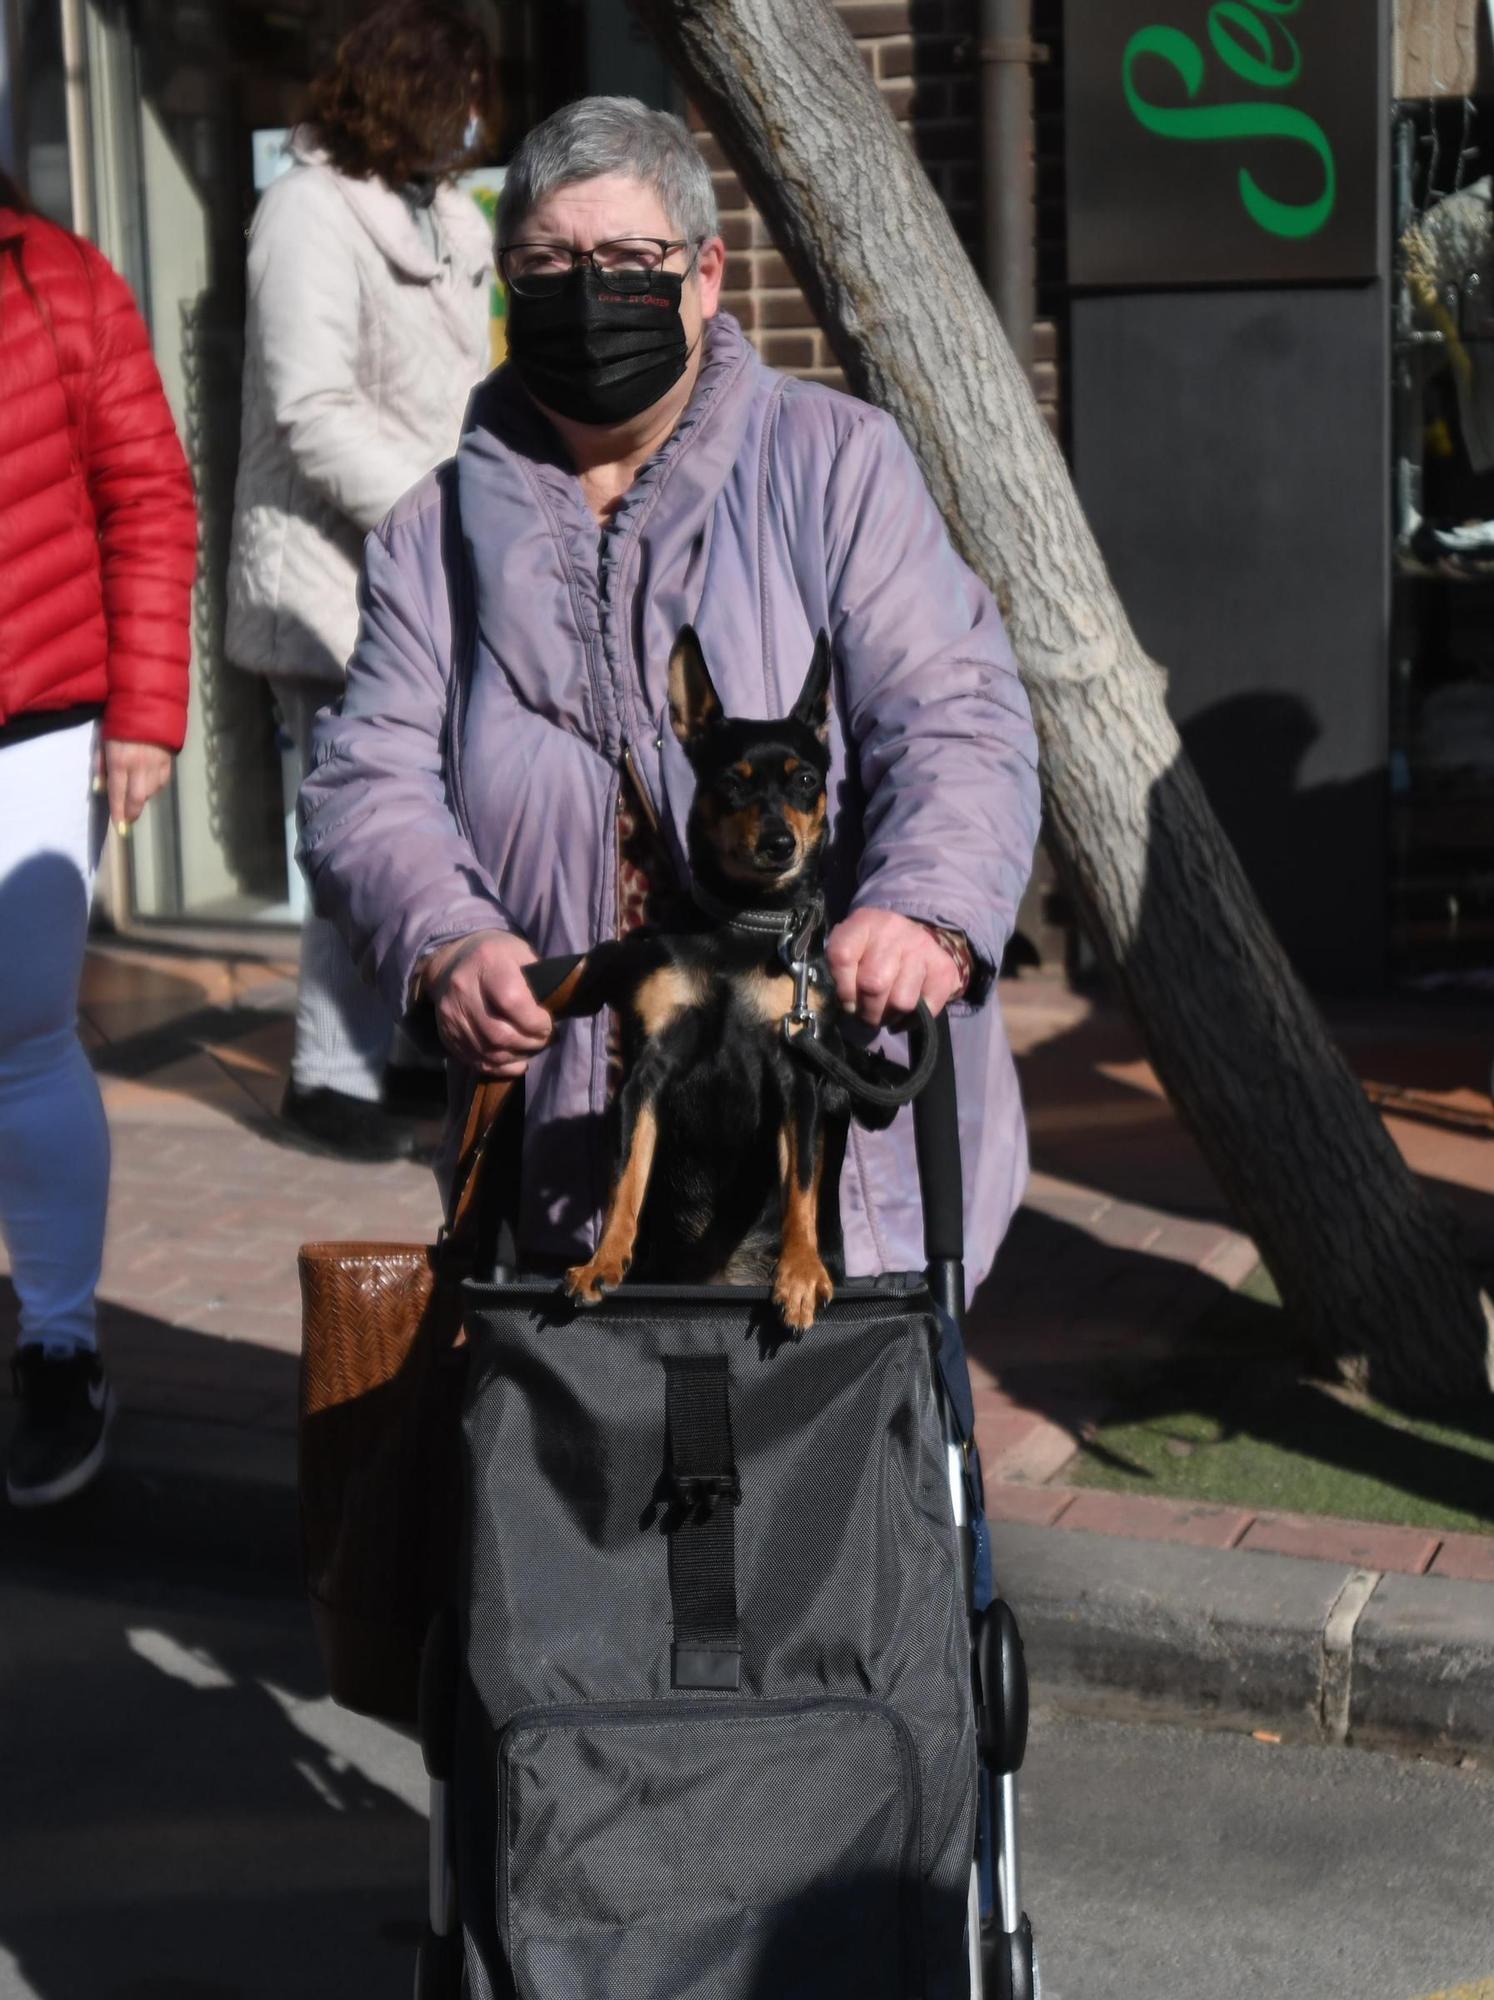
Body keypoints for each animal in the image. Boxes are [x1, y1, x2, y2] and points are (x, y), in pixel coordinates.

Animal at [556, 632, 896, 1336]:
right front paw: (603, 1261)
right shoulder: (648, 1072)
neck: (745, 925)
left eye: (807, 780)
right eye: (731, 785)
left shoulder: (800, 1079)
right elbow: (626, 1176)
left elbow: (800, 1185)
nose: (779, 843)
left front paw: (800, 1274)